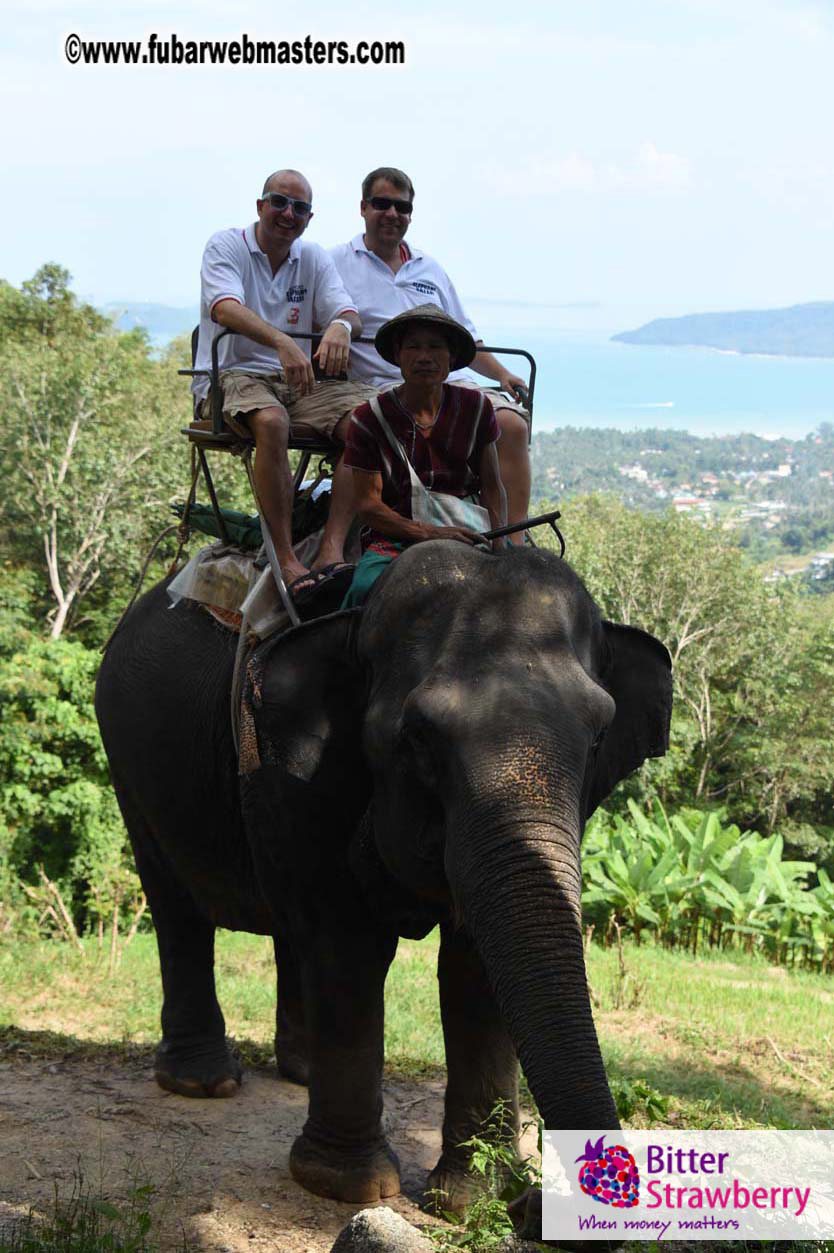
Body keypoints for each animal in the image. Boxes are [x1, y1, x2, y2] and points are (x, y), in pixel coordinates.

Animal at [95, 541, 672, 1213]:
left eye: (601, 733)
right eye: (418, 735)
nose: (536, 1204)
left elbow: (474, 966)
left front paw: (472, 1198)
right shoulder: (296, 766)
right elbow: (348, 942)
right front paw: (347, 1186)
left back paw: (299, 1072)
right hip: (130, 759)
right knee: (177, 907)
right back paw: (204, 1083)